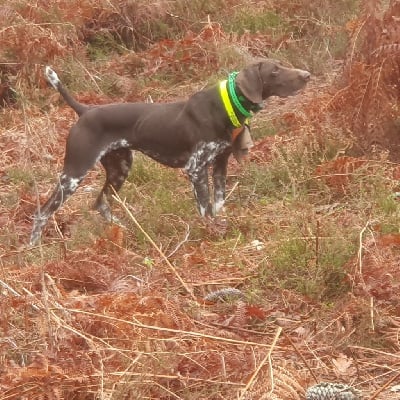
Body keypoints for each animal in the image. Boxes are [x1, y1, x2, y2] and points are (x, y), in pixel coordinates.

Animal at [29, 59, 310, 244]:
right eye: (275, 71)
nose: (307, 74)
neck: (226, 105)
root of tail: (85, 110)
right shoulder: (195, 169)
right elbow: (205, 208)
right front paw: (210, 233)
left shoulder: (220, 164)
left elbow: (219, 203)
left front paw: (222, 226)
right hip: (74, 174)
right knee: (42, 213)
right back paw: (34, 247)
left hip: (120, 168)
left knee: (101, 202)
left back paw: (126, 230)